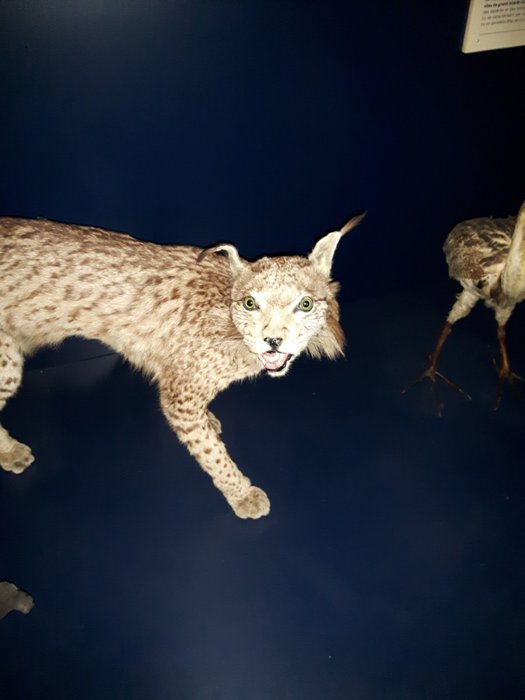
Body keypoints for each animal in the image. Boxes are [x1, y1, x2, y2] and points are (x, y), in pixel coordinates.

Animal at [0, 213, 364, 518]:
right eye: (250, 304)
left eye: (305, 305)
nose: (272, 341)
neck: (233, 328)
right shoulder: (178, 397)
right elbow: (211, 453)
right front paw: (241, 493)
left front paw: (211, 421)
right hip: (7, 362)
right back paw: (11, 452)